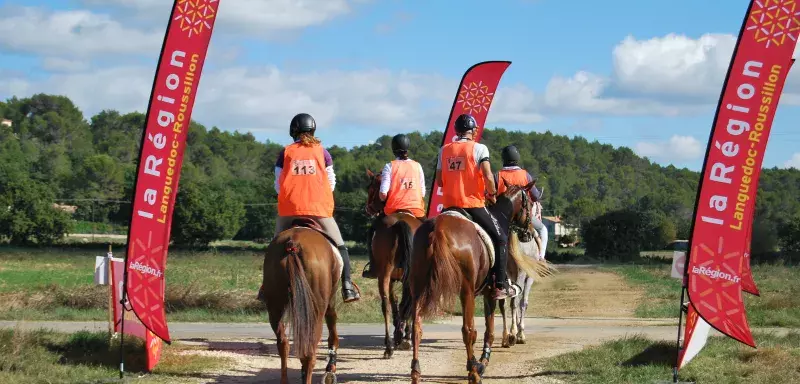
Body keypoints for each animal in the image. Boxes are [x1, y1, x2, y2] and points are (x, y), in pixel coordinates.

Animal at [260, 219, 340, 384]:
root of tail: (294, 242)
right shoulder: (330, 300)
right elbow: (332, 327)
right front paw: (330, 369)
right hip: (315, 312)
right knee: (310, 352)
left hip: (275, 307)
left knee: (283, 343)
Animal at [364, 170, 422, 358]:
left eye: (371, 188)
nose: (367, 209)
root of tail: (399, 222)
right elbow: (401, 303)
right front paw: (404, 334)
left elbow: (395, 302)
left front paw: (401, 333)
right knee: (405, 305)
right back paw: (399, 340)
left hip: (386, 273)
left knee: (387, 305)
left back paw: (391, 344)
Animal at [400, 183, 556, 384]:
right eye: (529, 203)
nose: (528, 233)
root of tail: (439, 228)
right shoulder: (490, 292)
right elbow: (490, 329)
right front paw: (483, 361)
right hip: (467, 290)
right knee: (469, 330)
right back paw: (475, 370)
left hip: (419, 287)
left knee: (417, 328)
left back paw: (416, 373)